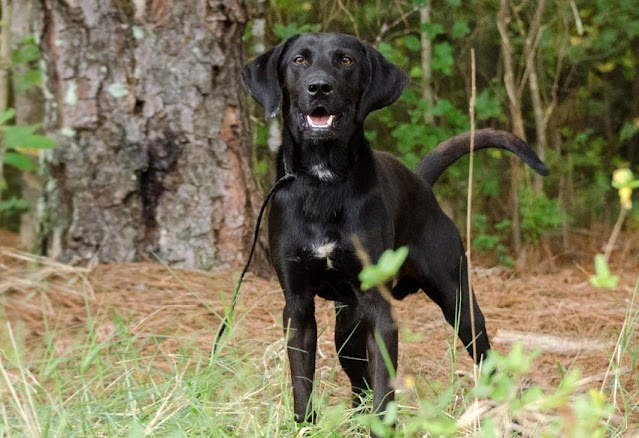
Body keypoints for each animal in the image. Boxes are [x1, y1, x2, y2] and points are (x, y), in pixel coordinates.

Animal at [242, 33, 548, 424]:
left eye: (345, 60)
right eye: (299, 60)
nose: (319, 87)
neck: (322, 181)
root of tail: (421, 183)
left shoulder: (380, 311)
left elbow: (383, 388)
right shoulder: (297, 307)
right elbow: (302, 384)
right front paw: (305, 425)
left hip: (459, 303)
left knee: (483, 355)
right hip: (347, 328)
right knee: (357, 380)